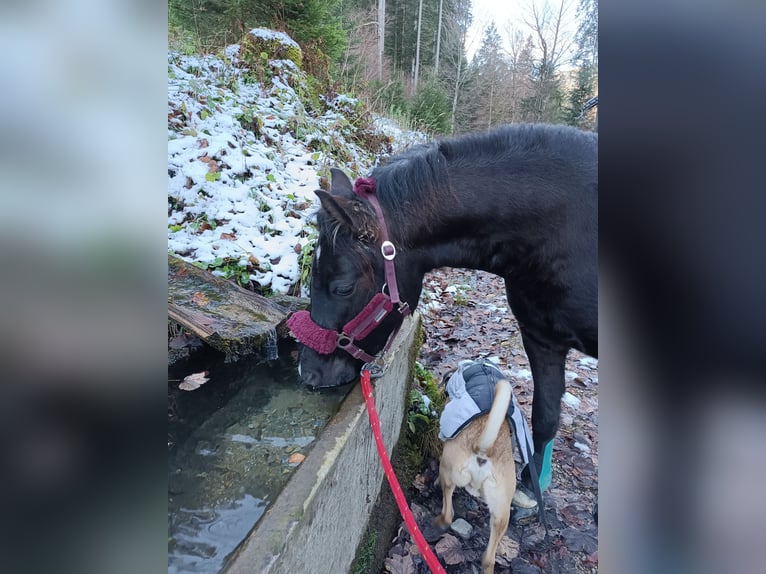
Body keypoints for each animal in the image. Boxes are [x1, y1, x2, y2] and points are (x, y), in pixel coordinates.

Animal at [292, 122, 596, 504]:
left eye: (343, 287)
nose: (308, 372)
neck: (566, 229)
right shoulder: (542, 338)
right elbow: (545, 416)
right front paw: (531, 487)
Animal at [436, 380, 520, 572]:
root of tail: (484, 450)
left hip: (448, 471)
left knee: (448, 513)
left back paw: (441, 521)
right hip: (501, 513)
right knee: (489, 559)